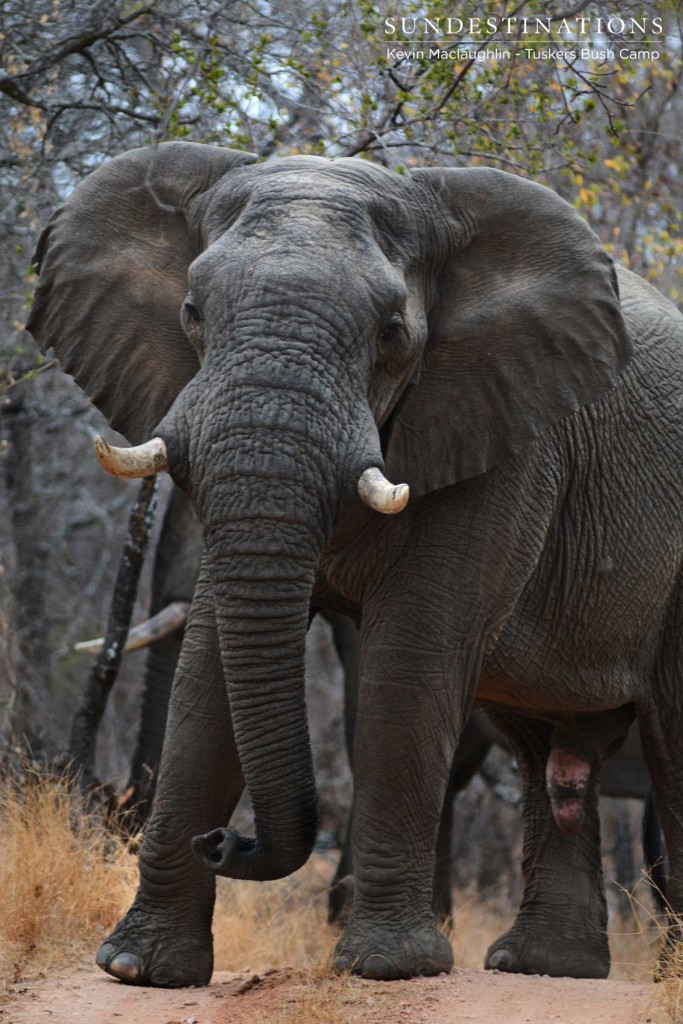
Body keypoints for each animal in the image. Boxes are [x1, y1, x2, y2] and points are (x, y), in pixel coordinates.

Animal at [28, 144, 683, 983]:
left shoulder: (506, 438)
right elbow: (208, 664)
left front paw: (386, 967)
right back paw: (539, 967)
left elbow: (411, 654)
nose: (226, 841)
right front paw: (137, 968)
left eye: (392, 332)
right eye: (192, 312)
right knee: (548, 750)